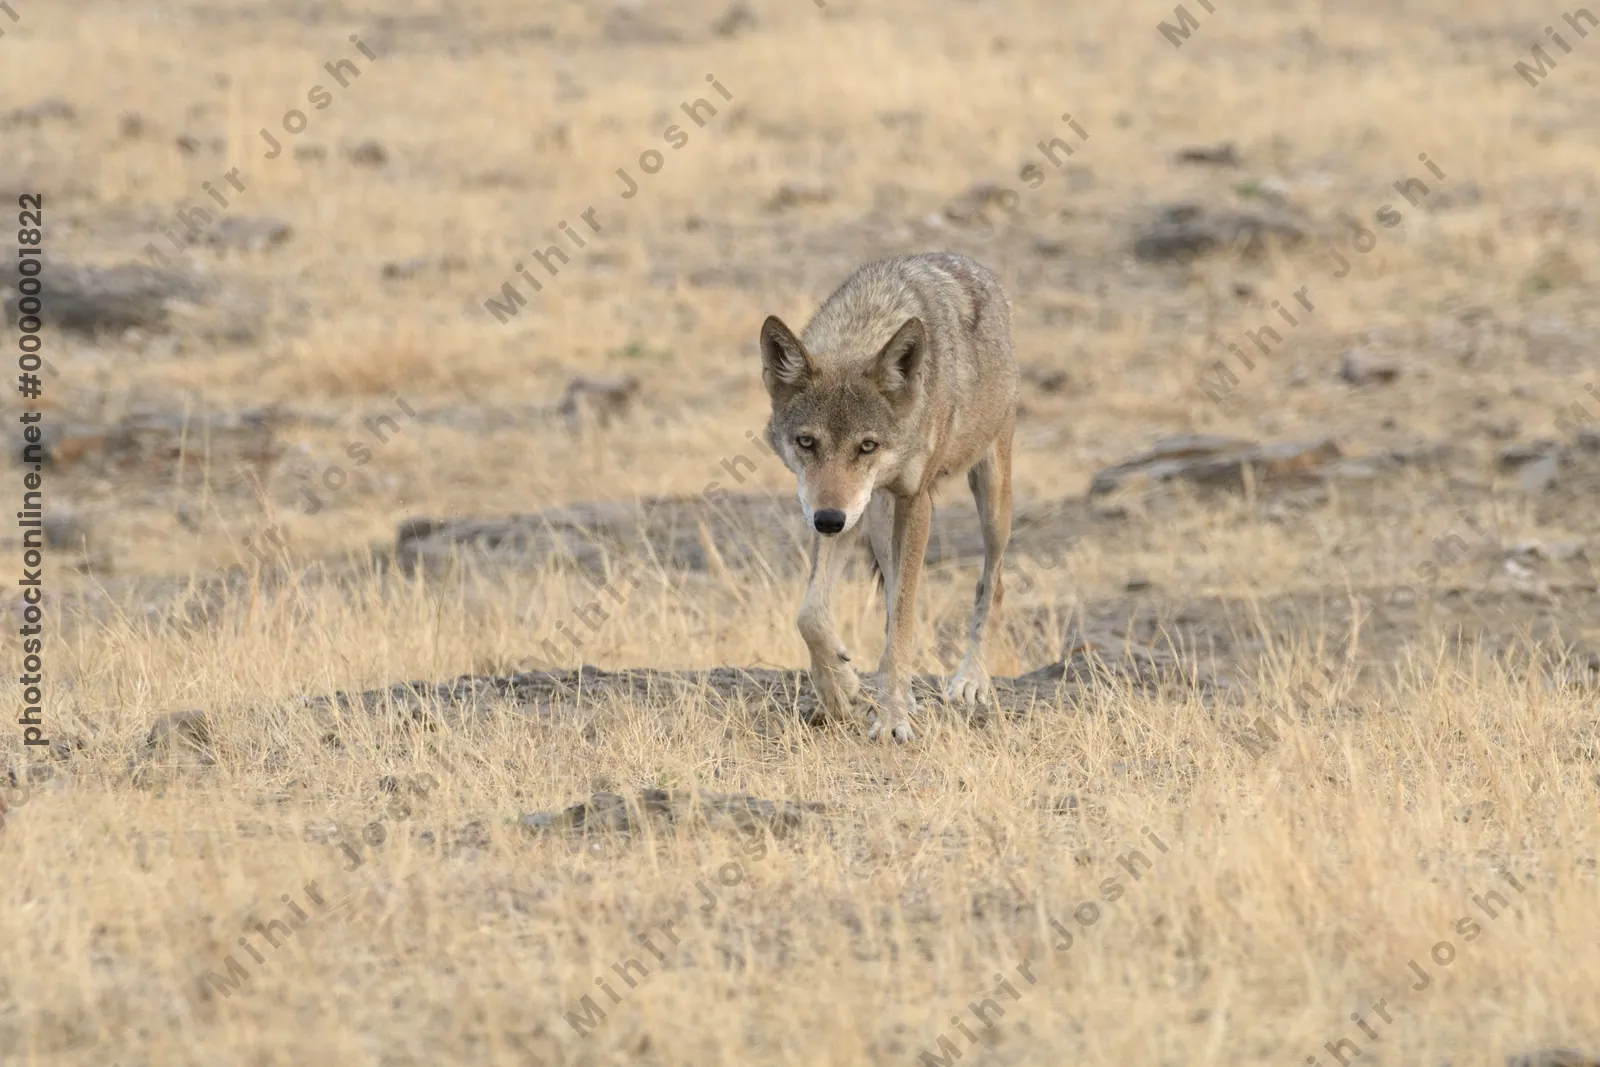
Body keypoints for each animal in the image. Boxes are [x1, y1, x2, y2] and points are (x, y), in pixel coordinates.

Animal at [758, 252, 1019, 742]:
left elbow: (902, 621)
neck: (866, 324)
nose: (827, 521)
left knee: (991, 583)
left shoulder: (915, 500)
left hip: (992, 500)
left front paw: (893, 717)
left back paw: (971, 681)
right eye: (806, 442)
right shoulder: (847, 507)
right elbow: (812, 614)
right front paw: (840, 689)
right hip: (877, 516)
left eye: (867, 445)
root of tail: (975, 266)